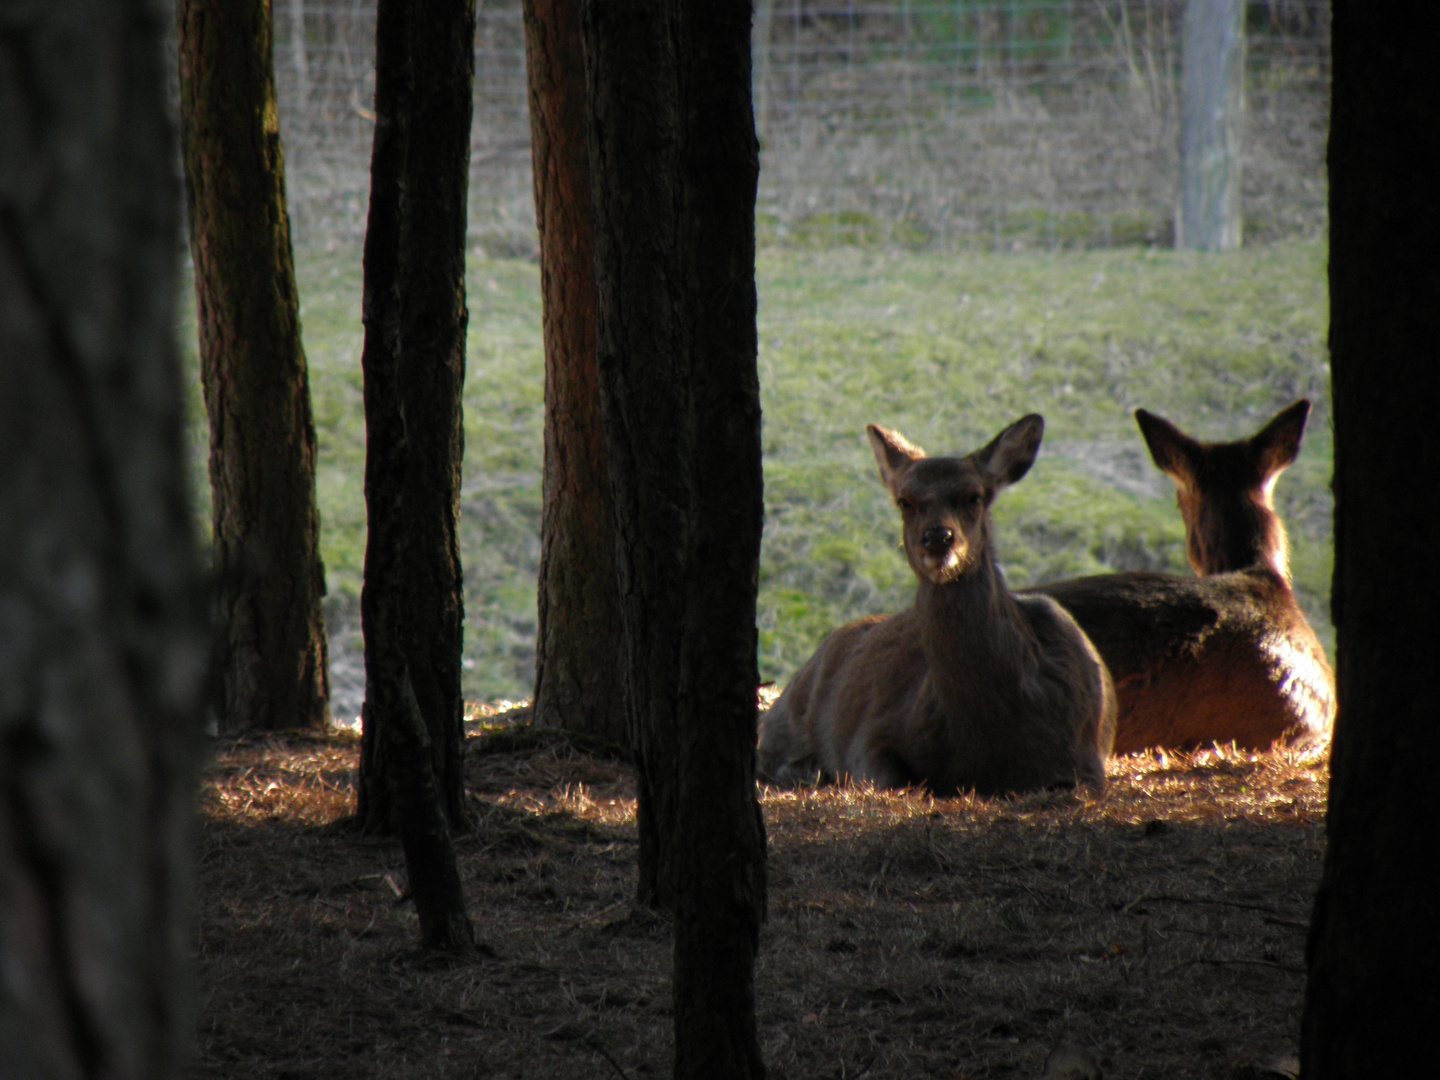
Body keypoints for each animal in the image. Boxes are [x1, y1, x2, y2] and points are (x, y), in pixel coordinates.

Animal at [760, 417, 1117, 800]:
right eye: (905, 501)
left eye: (974, 496)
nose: (937, 538)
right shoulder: (871, 731)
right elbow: (886, 775)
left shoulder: (1085, 757)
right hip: (790, 710)